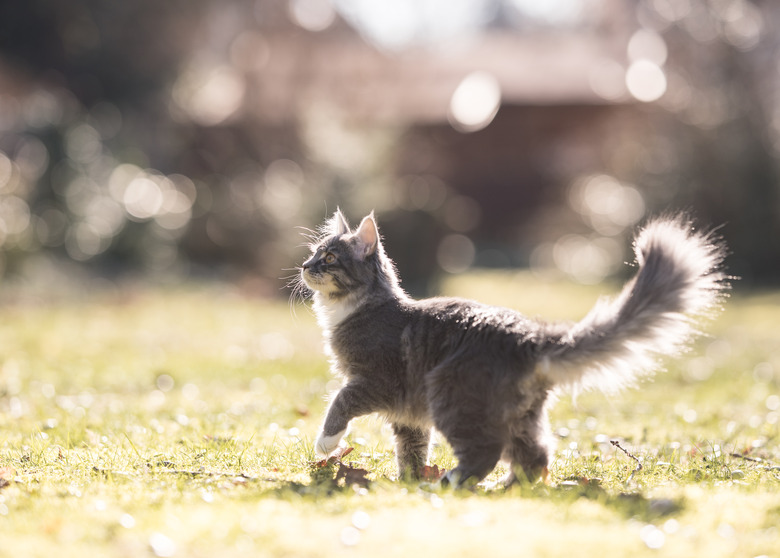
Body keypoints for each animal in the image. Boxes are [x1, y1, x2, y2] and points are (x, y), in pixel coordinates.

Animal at [296, 210, 728, 490]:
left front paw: (326, 445)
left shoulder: (375, 381)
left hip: (451, 393)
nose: (304, 265)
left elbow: (339, 402)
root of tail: (529, 336)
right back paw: (506, 488)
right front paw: (407, 483)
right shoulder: (409, 413)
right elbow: (411, 450)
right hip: (519, 414)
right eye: (314, 252)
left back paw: (452, 482)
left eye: (329, 258)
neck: (358, 309)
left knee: (486, 450)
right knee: (536, 455)